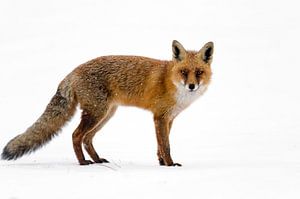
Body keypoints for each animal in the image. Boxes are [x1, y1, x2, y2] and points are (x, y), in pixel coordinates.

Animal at [1, 40, 214, 166]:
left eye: (199, 72)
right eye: (184, 72)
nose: (192, 86)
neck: (171, 82)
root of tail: (73, 71)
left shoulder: (168, 119)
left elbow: (160, 145)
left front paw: (162, 163)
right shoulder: (159, 117)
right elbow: (165, 145)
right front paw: (170, 165)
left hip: (106, 114)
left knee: (87, 139)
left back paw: (97, 160)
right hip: (97, 113)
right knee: (76, 135)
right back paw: (83, 162)